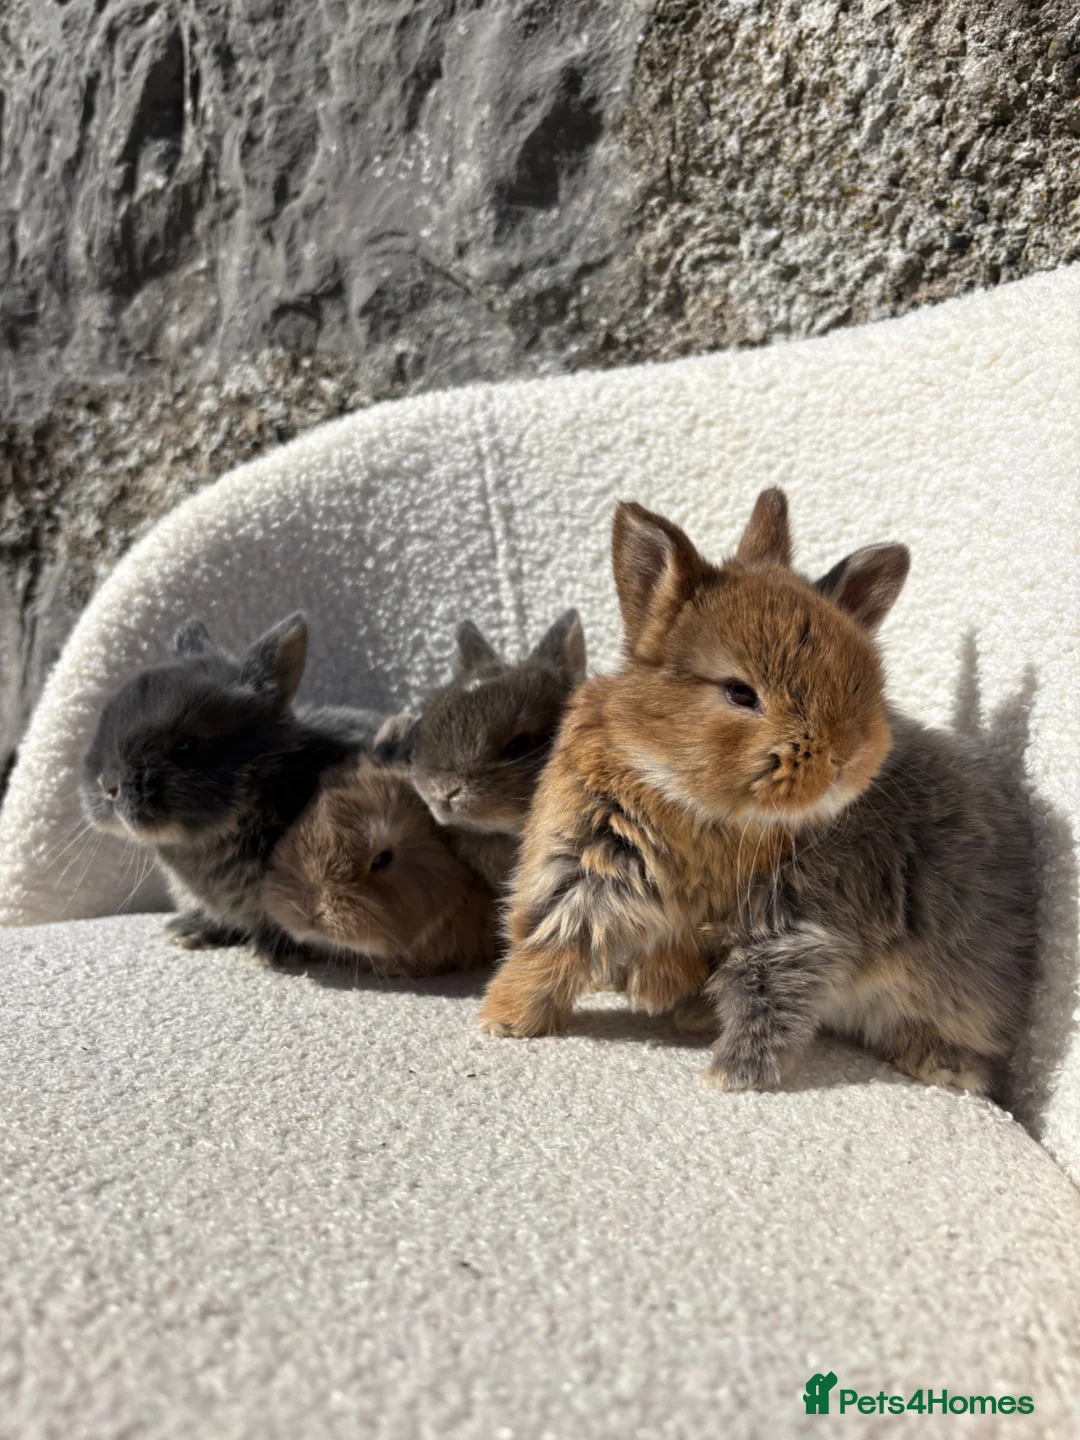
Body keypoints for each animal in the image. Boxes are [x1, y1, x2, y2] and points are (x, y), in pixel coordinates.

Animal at [479, 488, 1037, 1100]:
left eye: (866, 679)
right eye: (740, 693)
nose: (845, 757)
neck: (689, 800)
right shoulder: (582, 868)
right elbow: (550, 945)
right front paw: (504, 1020)